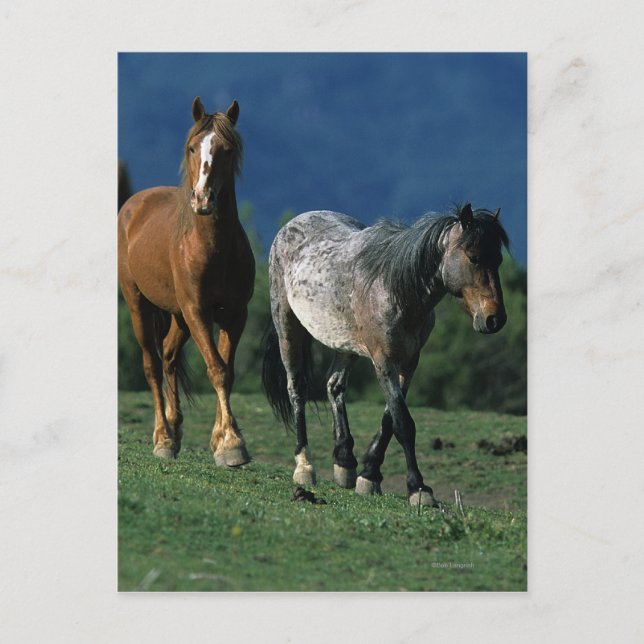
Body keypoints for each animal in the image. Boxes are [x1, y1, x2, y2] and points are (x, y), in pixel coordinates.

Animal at [118, 97, 255, 466]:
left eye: (226, 150)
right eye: (193, 147)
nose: (203, 199)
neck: (212, 248)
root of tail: (133, 205)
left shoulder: (234, 314)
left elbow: (227, 371)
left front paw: (222, 440)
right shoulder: (197, 311)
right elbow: (216, 369)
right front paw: (232, 444)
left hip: (178, 316)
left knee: (168, 356)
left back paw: (174, 430)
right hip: (139, 304)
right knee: (152, 363)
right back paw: (163, 437)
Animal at [262, 204, 508, 506]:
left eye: (498, 259)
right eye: (473, 257)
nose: (495, 319)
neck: (394, 288)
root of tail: (292, 224)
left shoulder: (409, 363)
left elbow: (389, 420)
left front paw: (369, 475)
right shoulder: (384, 361)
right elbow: (403, 423)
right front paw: (418, 488)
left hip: (345, 343)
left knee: (334, 385)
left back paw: (344, 461)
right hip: (287, 326)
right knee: (297, 388)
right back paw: (304, 467)